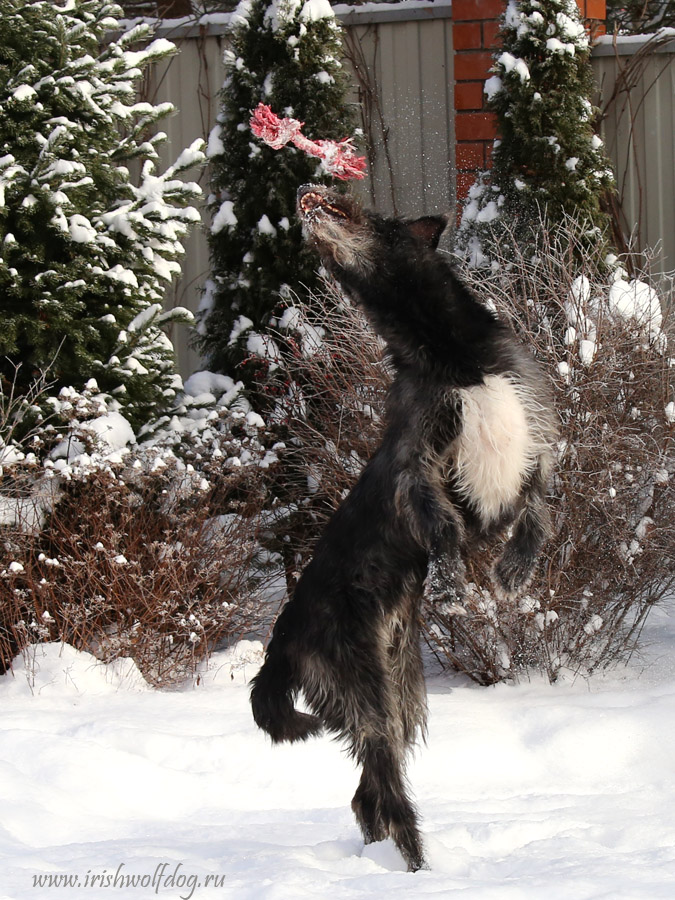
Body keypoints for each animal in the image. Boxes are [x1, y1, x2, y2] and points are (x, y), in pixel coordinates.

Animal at [251, 185, 556, 872]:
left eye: (361, 209)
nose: (305, 193)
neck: (449, 354)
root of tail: (283, 639)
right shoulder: (419, 465)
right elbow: (440, 522)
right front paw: (456, 576)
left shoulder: (524, 440)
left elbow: (538, 506)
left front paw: (514, 567)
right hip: (361, 686)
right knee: (383, 789)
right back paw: (417, 866)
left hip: (398, 690)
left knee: (366, 792)